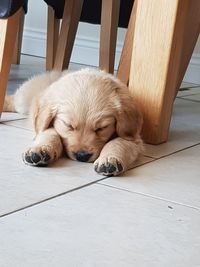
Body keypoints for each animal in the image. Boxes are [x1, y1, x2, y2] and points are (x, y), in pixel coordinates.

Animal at [3, 68, 143, 176]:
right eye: (68, 125)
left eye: (101, 128)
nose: (82, 156)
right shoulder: (46, 125)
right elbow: (50, 134)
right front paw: (39, 150)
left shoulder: (133, 137)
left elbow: (118, 143)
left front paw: (109, 160)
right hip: (24, 98)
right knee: (13, 99)